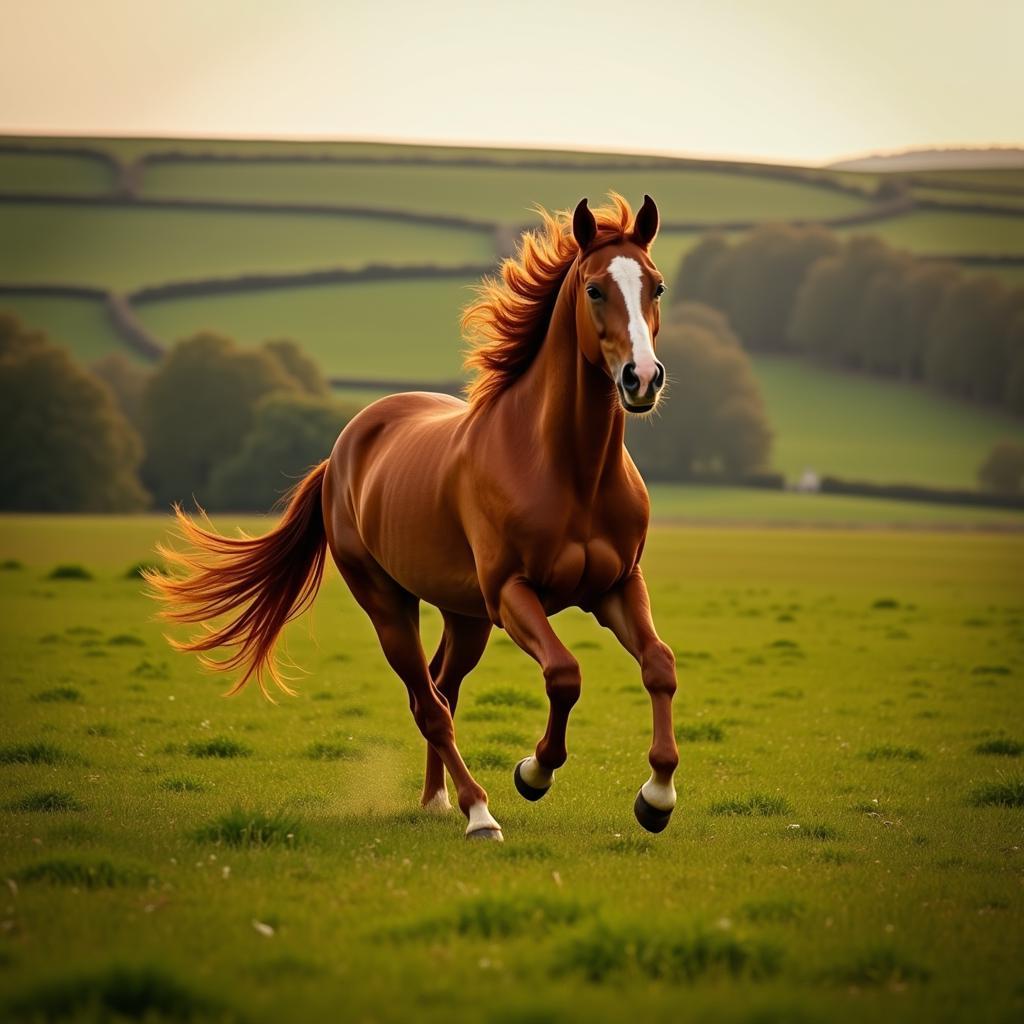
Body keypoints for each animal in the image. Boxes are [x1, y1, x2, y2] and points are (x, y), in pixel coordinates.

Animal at [149, 192, 679, 839]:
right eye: (595, 289)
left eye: (655, 285)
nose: (642, 378)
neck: (568, 469)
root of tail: (341, 452)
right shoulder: (512, 593)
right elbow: (564, 673)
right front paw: (533, 772)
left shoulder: (617, 585)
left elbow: (659, 666)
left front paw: (657, 796)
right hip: (390, 604)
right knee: (428, 703)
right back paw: (477, 811)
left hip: (464, 614)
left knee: (443, 687)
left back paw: (437, 799)